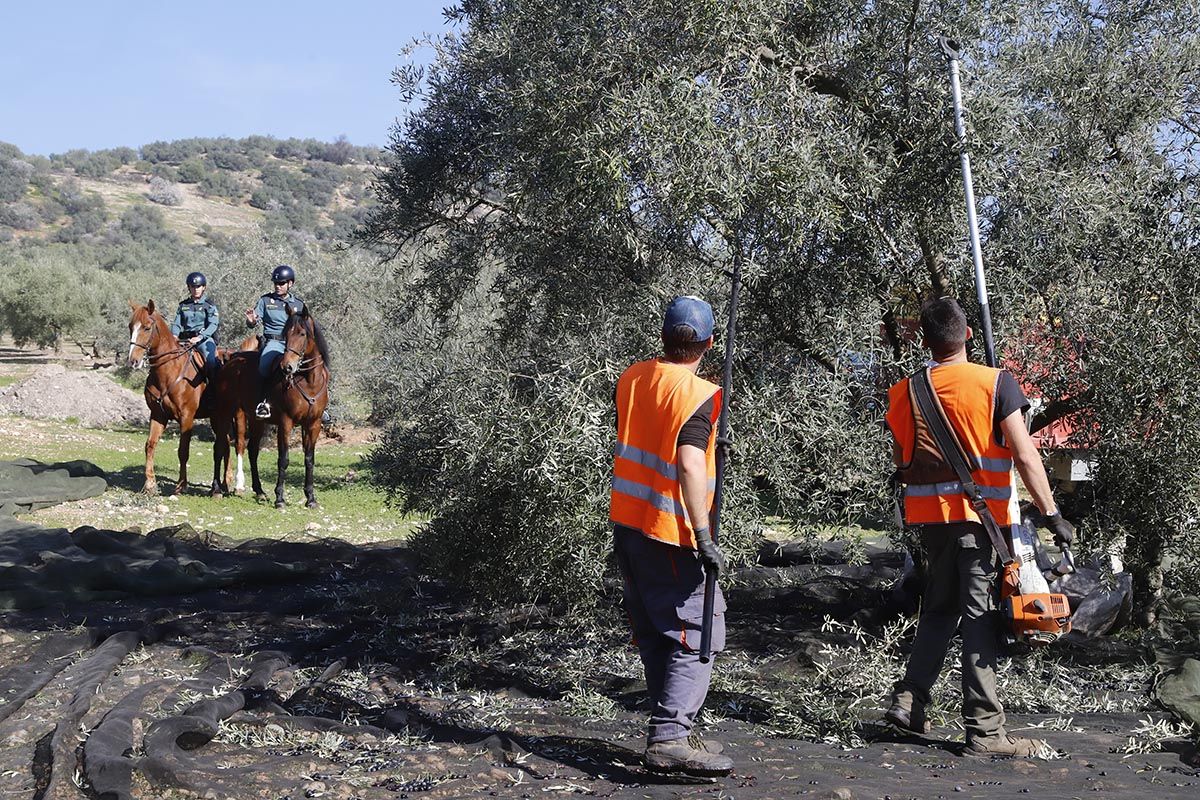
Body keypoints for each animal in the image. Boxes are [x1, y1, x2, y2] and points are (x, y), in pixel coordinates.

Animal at [129, 299, 211, 494]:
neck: (169, 371)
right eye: (130, 326)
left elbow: (183, 451)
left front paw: (181, 485)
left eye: (147, 327)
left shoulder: (187, 417)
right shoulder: (158, 415)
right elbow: (150, 445)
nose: (133, 361)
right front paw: (150, 484)